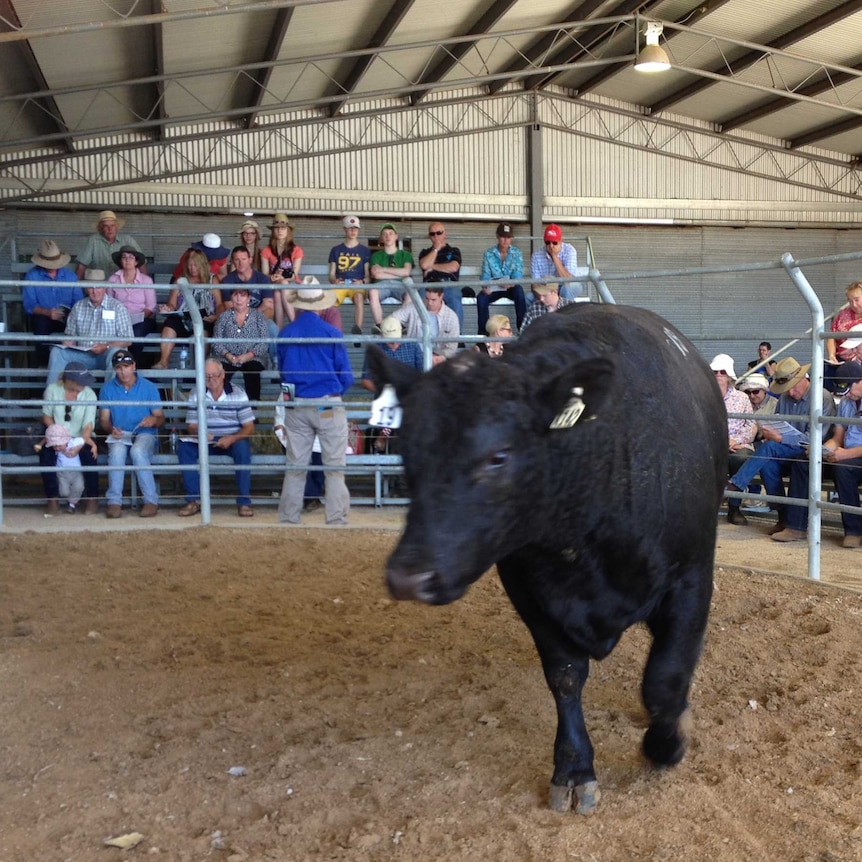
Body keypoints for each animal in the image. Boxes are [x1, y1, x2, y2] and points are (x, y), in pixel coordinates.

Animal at [366, 304, 728, 816]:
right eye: (406, 450)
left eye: (499, 456)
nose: (408, 576)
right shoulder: (529, 589)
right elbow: (565, 677)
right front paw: (574, 769)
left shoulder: (692, 578)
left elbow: (665, 678)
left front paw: (667, 744)